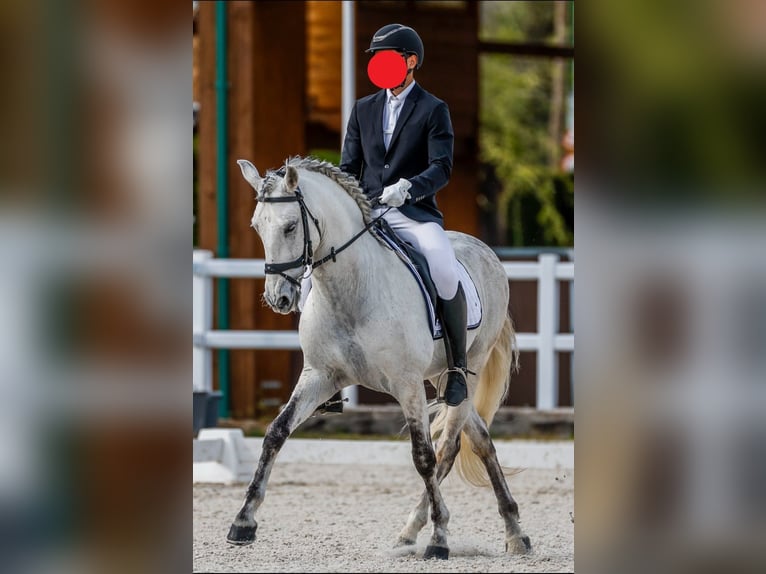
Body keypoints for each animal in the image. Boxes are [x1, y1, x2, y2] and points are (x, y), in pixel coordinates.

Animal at [226, 156, 531, 559]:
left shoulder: (406, 384)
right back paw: (503, 530)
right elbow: (276, 433)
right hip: (440, 376)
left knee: (448, 446)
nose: (278, 298)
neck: (350, 288)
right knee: (480, 438)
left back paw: (442, 530)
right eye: (257, 227)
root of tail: (485, 251)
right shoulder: (319, 376)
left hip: (469, 369)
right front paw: (243, 521)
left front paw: (440, 539)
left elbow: (423, 455)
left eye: (291, 226)